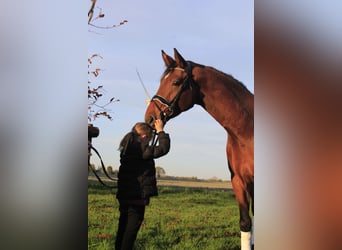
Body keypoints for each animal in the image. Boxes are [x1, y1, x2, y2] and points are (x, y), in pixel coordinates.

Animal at [144, 48, 254, 250]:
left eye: (176, 82)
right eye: (161, 81)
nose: (149, 118)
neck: (246, 131)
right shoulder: (239, 181)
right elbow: (245, 223)